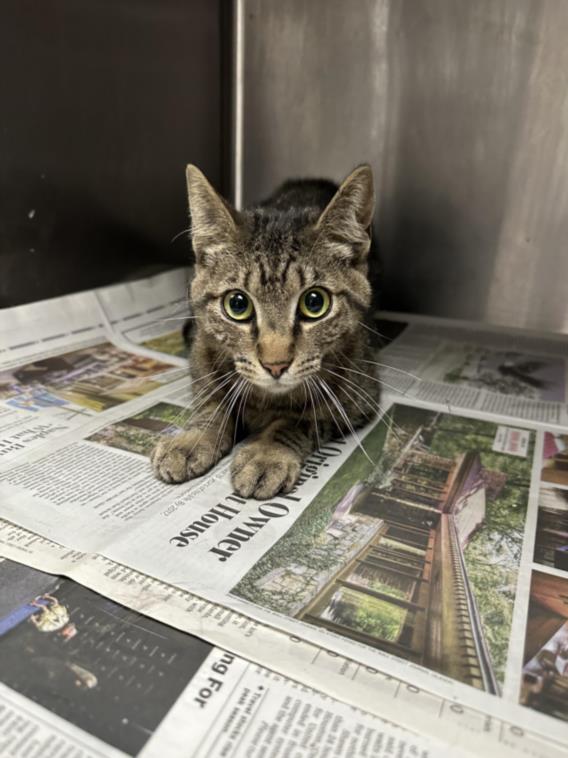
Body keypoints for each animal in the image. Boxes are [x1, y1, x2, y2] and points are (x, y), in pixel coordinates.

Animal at [153, 166, 380, 498]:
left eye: (315, 303)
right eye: (237, 304)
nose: (276, 364)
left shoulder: (359, 397)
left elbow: (299, 420)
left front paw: (266, 453)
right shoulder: (202, 359)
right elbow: (211, 404)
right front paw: (191, 439)